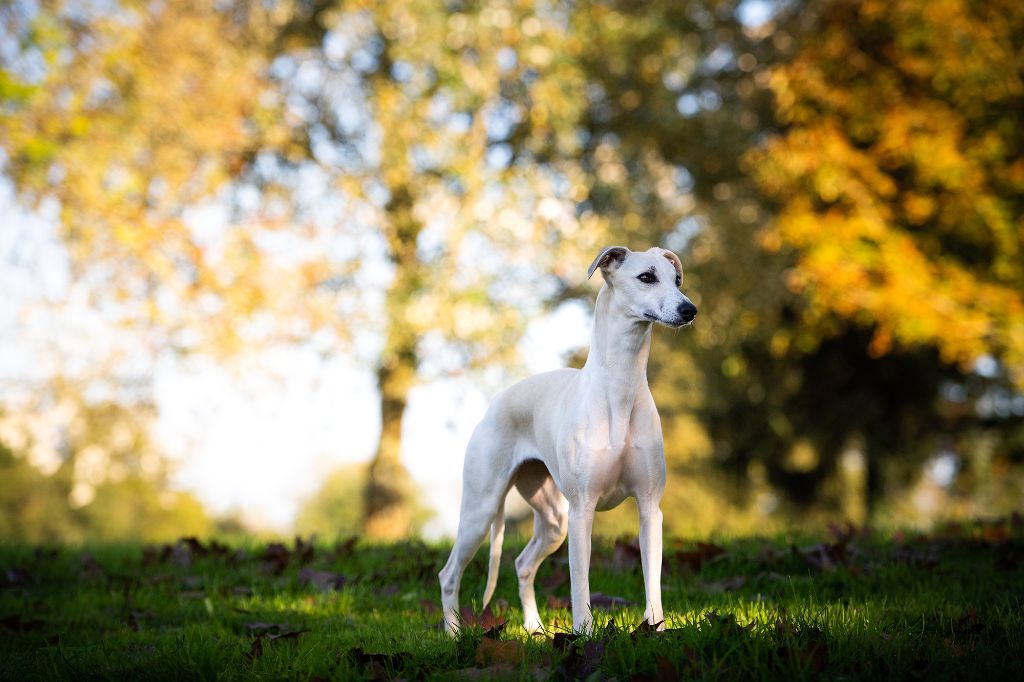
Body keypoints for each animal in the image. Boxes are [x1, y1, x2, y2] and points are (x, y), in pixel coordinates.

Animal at [436, 244, 700, 630]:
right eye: (646, 276)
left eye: (677, 279)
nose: (689, 309)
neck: (620, 388)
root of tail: (496, 402)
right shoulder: (582, 510)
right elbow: (580, 584)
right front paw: (584, 632)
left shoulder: (650, 508)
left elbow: (652, 581)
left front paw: (656, 630)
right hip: (481, 509)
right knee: (449, 573)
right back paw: (455, 632)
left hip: (553, 520)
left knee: (522, 564)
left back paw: (534, 629)